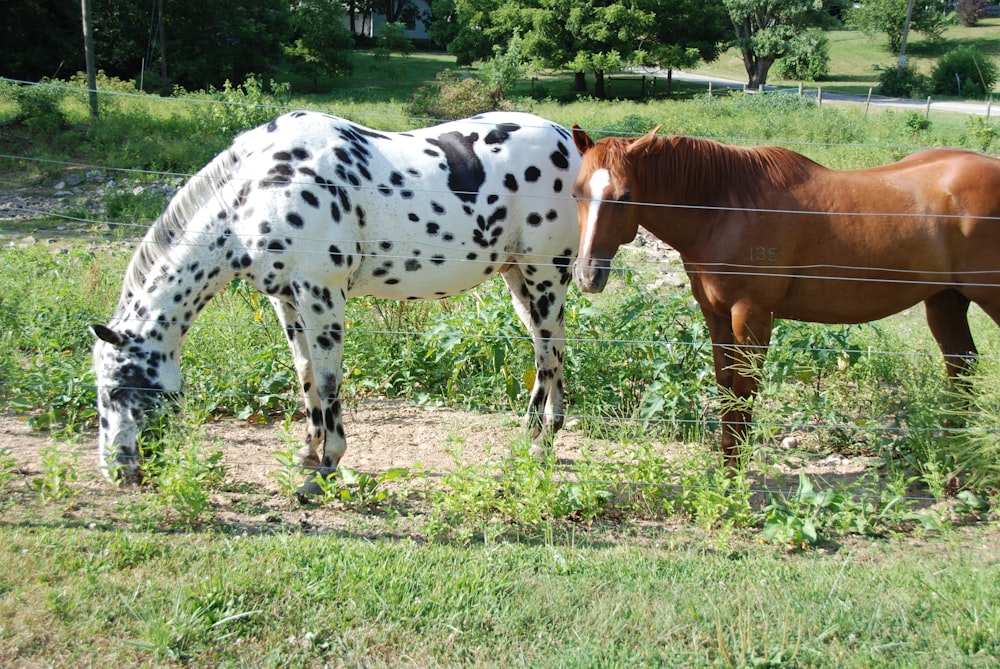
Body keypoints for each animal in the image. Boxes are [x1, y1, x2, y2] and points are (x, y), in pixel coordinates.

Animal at [94, 111, 584, 490]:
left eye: (115, 389)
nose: (117, 471)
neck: (258, 192)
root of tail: (568, 141)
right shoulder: (287, 301)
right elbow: (306, 374)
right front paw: (307, 452)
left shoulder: (321, 292)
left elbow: (329, 381)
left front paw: (326, 466)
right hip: (518, 278)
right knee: (552, 346)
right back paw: (546, 435)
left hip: (544, 274)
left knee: (546, 354)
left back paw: (533, 442)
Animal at [576, 126, 1000, 470]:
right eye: (578, 192)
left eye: (625, 195)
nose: (587, 275)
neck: (724, 208)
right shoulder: (716, 314)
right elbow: (726, 385)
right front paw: (726, 468)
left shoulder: (752, 316)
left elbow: (744, 390)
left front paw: (736, 478)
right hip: (945, 301)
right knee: (961, 368)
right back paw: (951, 461)